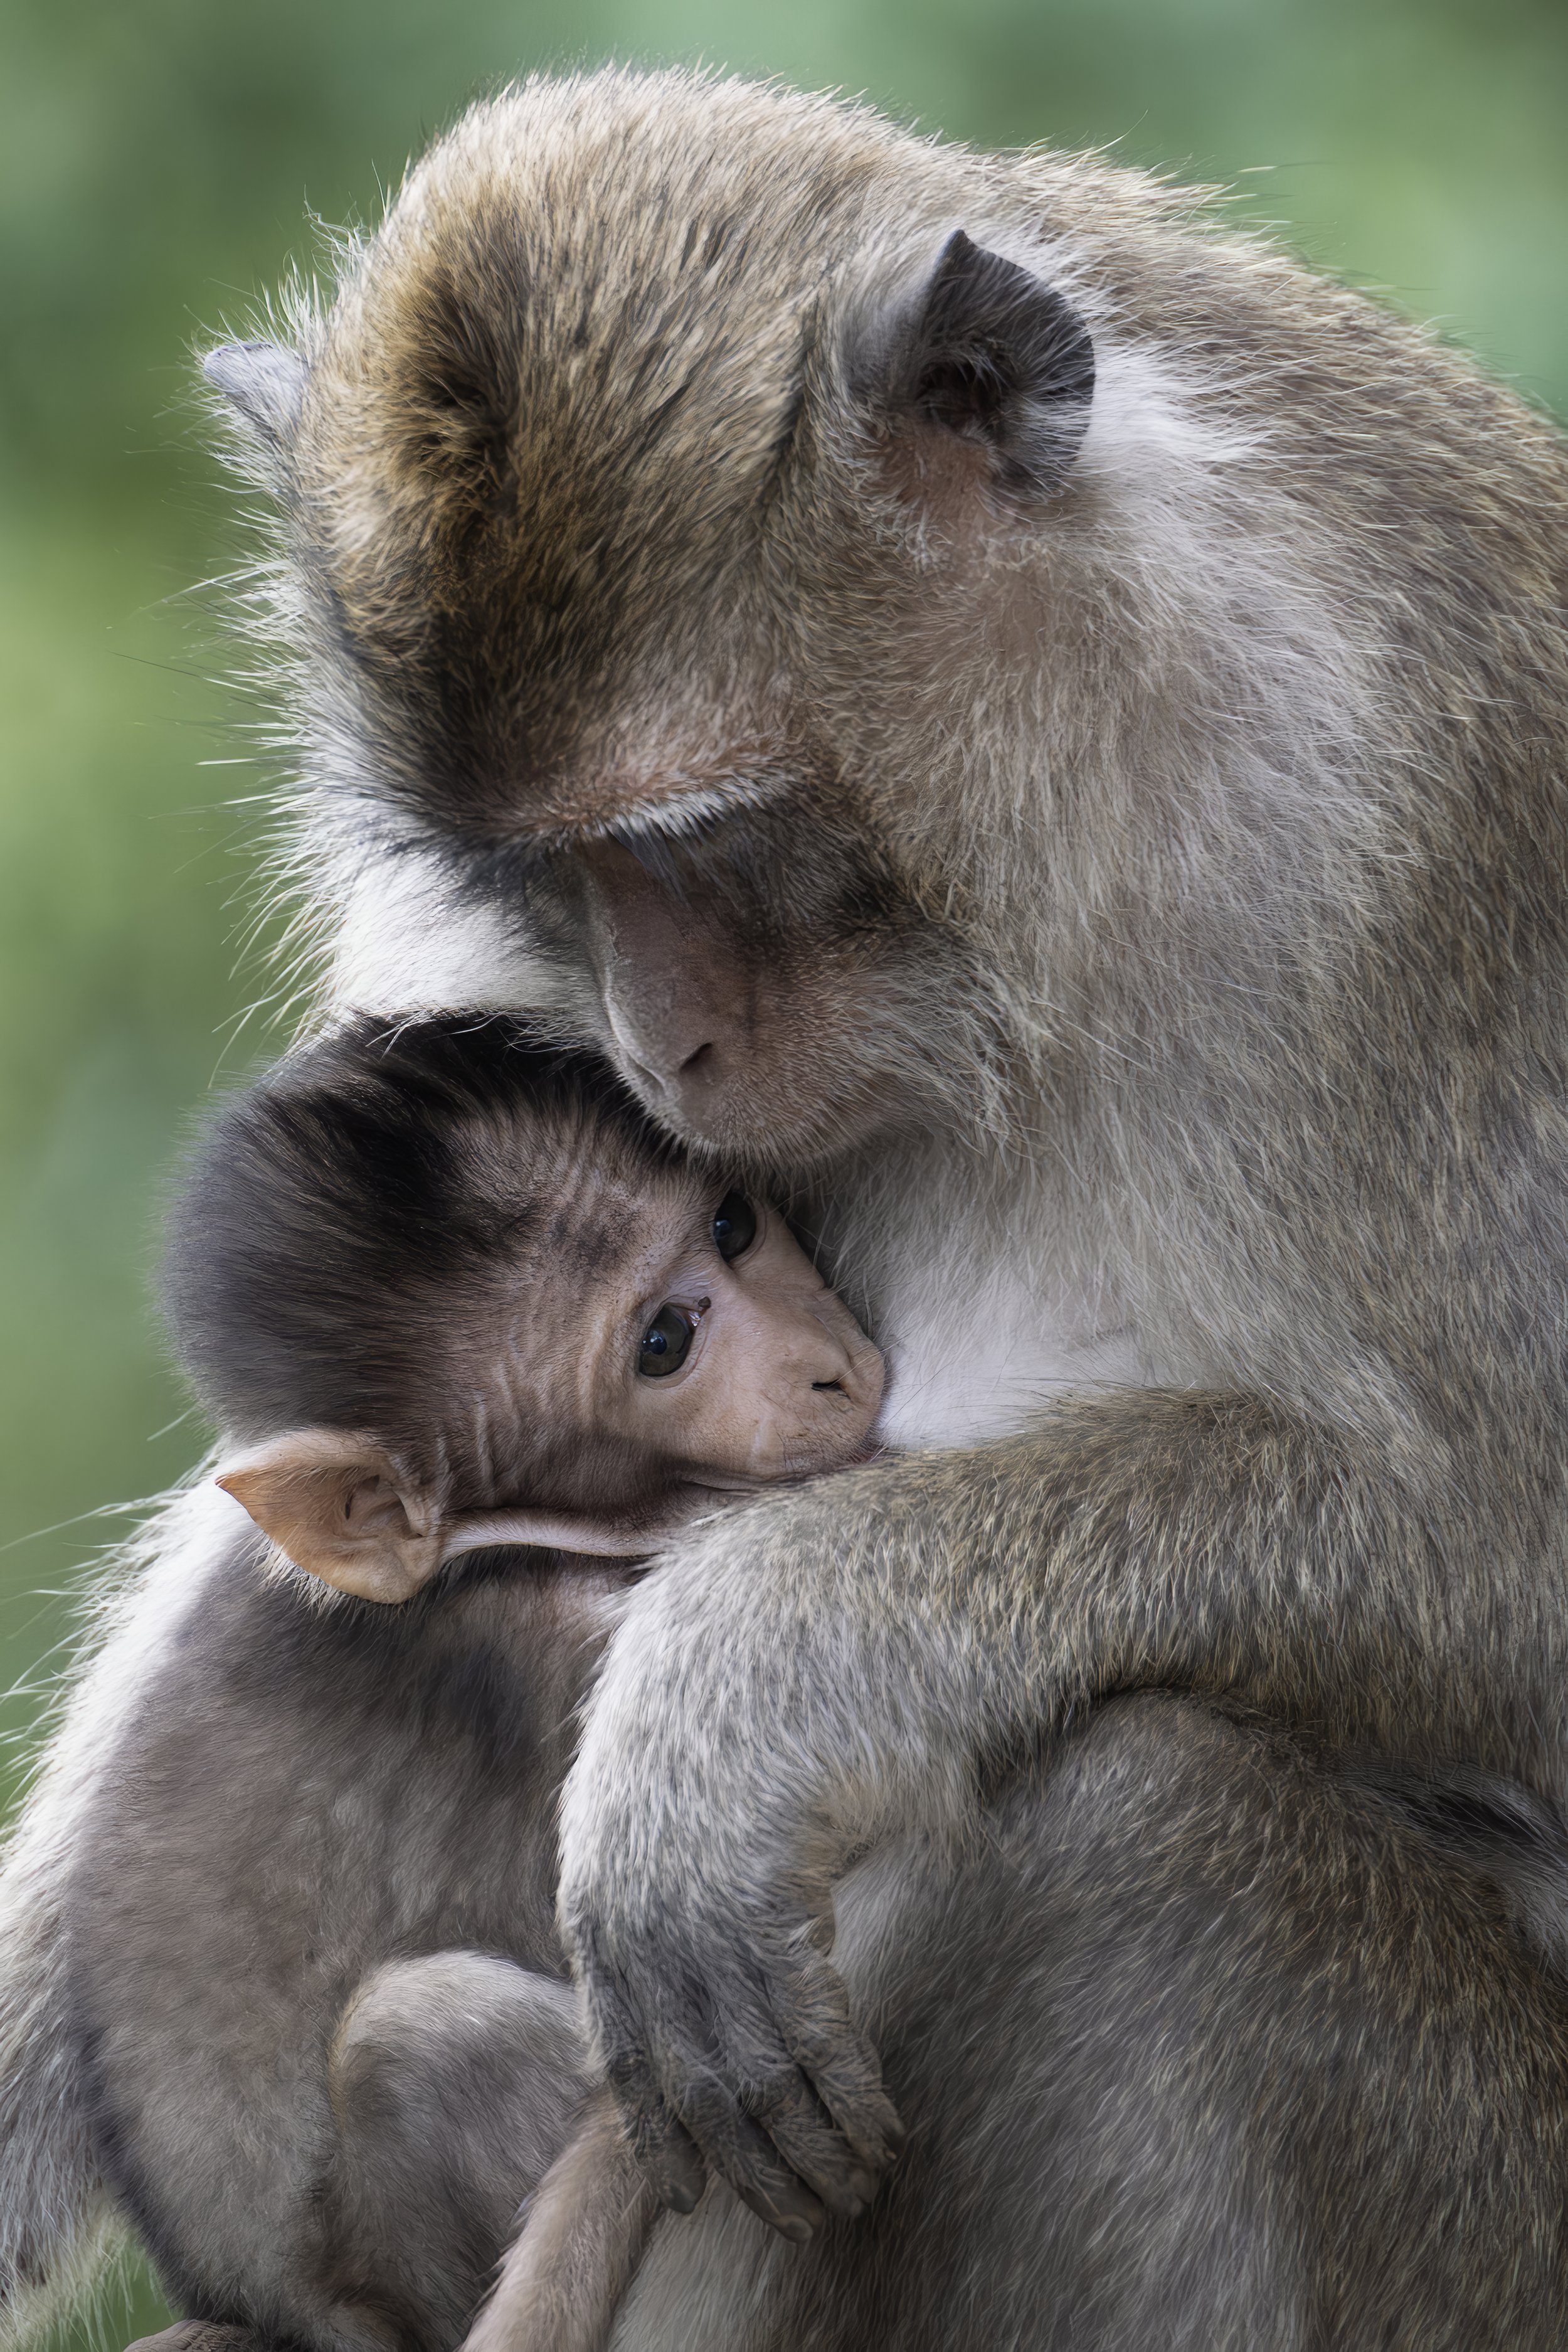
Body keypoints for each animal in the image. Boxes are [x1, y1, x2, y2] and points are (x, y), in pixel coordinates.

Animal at [7, 61, 1568, 2352]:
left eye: (709, 839)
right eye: (534, 872)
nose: (664, 1047)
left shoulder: (1420, 853)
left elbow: (1501, 1546)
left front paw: (746, 1676)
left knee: (1150, 1847)